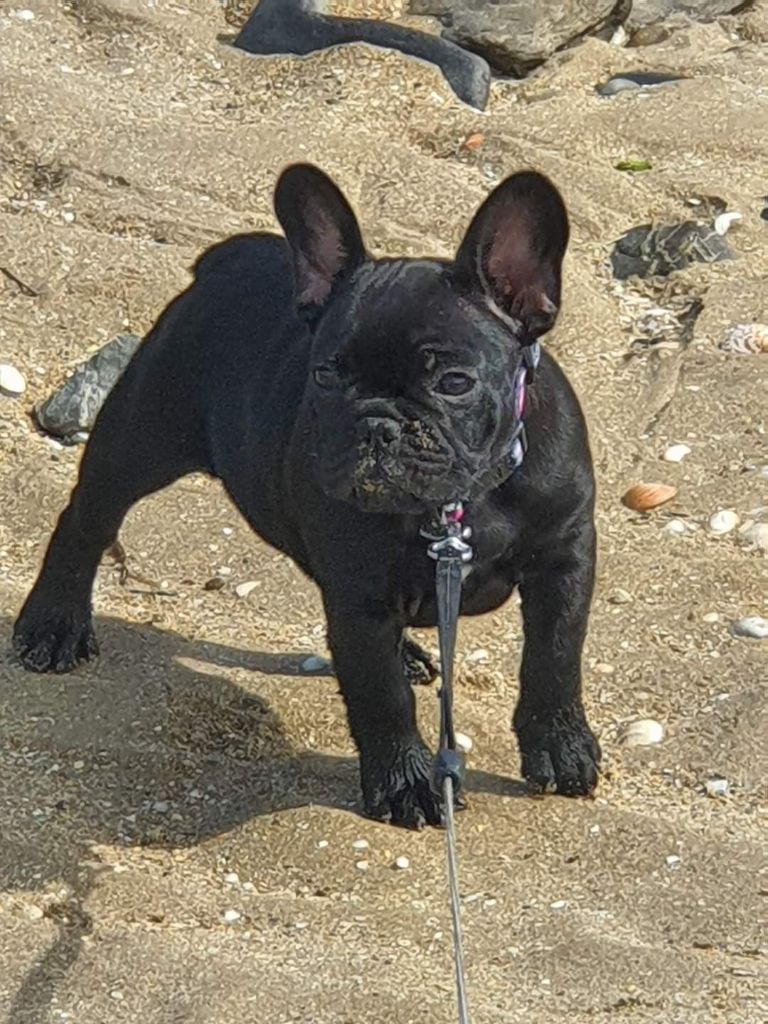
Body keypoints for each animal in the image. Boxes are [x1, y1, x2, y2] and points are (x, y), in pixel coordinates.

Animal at [10, 163, 602, 827]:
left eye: (454, 382)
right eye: (325, 375)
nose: (377, 424)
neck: (460, 503)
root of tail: (231, 255)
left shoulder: (564, 557)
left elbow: (554, 656)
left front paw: (559, 744)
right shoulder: (359, 594)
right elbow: (380, 695)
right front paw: (406, 783)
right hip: (143, 435)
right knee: (87, 517)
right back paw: (54, 622)